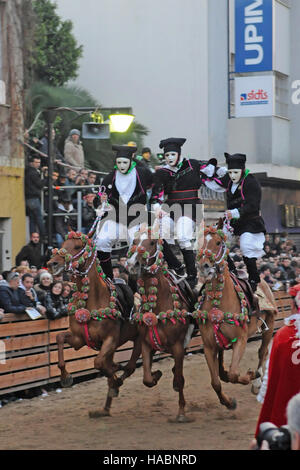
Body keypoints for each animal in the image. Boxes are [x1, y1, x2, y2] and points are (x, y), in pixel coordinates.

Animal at [47, 229, 141, 416]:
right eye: (62, 244)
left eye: (77, 246)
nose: (53, 263)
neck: (91, 301)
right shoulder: (79, 339)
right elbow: (59, 338)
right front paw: (65, 377)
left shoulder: (110, 339)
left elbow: (98, 363)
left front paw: (115, 376)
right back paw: (105, 408)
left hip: (140, 339)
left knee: (131, 366)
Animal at [126, 228, 192, 422]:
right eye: (134, 240)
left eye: (153, 242)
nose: (134, 263)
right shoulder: (146, 344)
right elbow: (147, 378)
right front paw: (156, 375)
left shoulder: (177, 346)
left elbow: (180, 378)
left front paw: (181, 412)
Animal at [193, 218, 278, 410]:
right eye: (199, 242)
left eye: (218, 242)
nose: (203, 266)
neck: (219, 302)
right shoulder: (209, 346)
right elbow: (216, 382)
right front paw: (228, 401)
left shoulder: (240, 340)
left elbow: (233, 374)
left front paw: (251, 376)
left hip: (269, 325)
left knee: (262, 352)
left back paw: (257, 382)